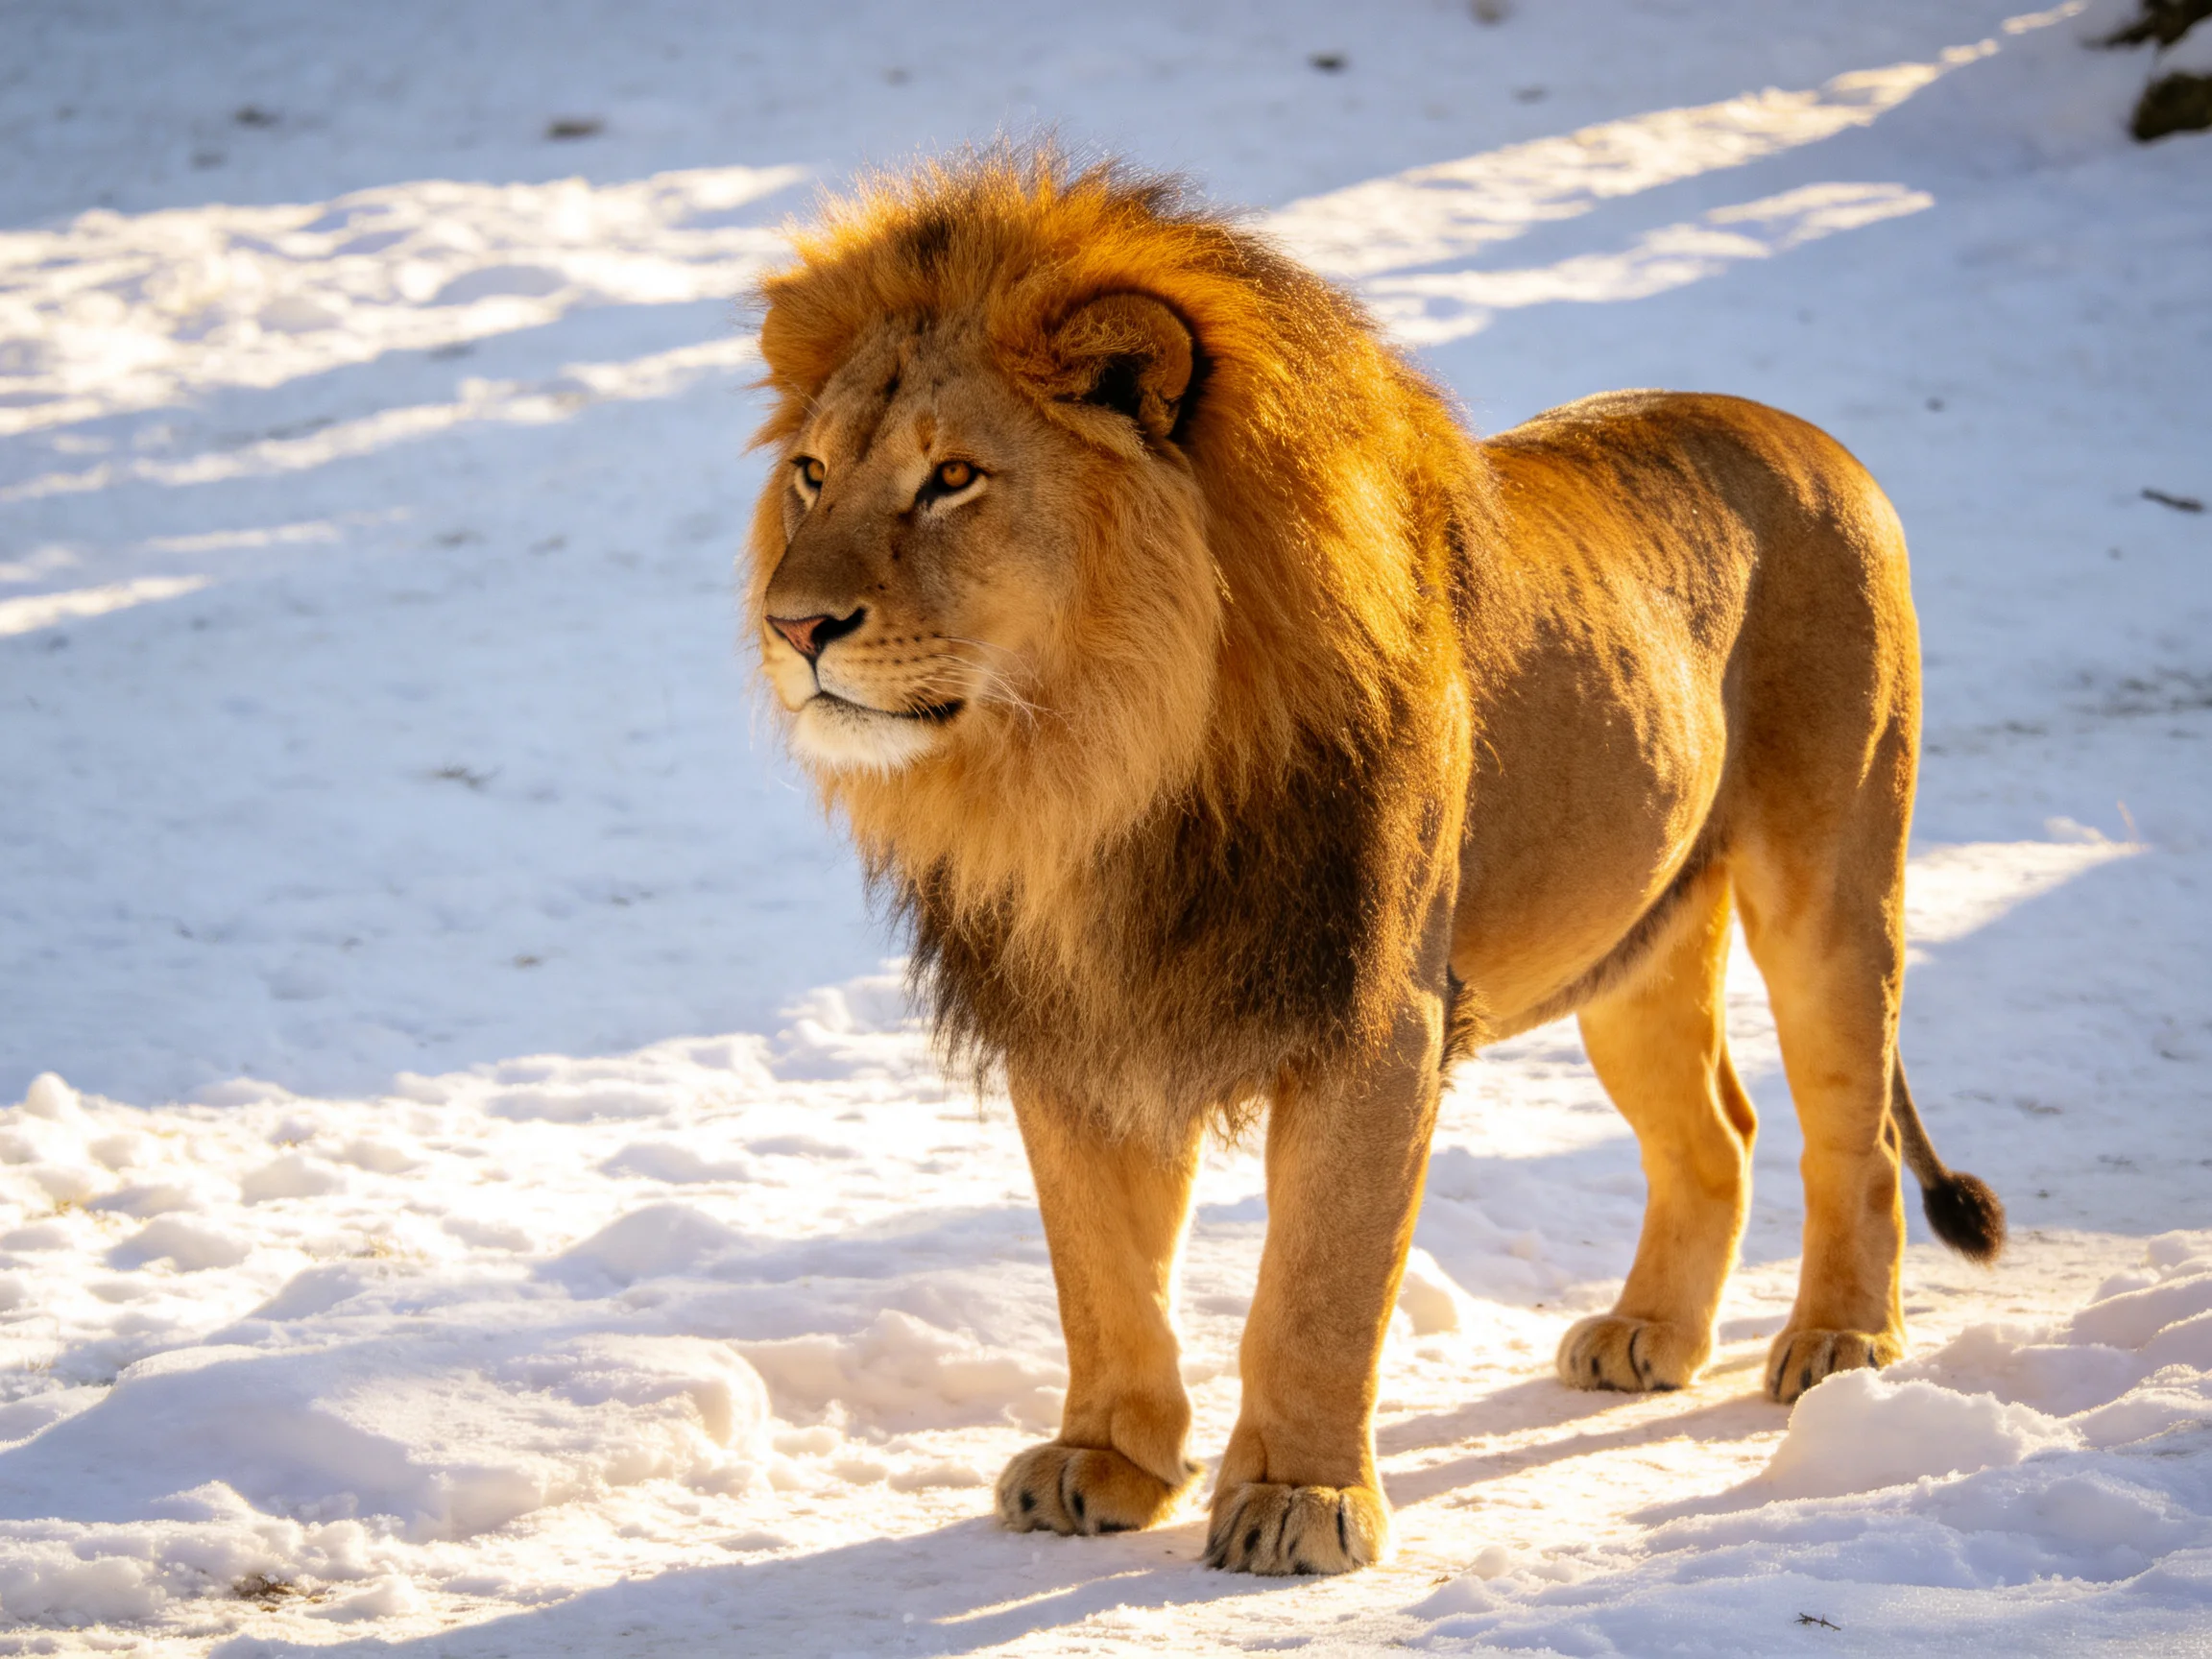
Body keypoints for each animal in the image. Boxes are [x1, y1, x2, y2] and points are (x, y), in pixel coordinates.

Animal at [742, 150, 2004, 1576]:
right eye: (811, 473)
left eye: (953, 476)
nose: (793, 626)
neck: (1088, 770)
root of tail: (1814, 438)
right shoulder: (1078, 1024)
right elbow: (1102, 1272)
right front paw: (1105, 1461)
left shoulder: (1377, 1016)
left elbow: (1318, 1282)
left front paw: (1300, 1499)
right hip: (1631, 942)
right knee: (1715, 1132)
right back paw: (1650, 1337)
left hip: (1830, 881)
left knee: (1849, 1125)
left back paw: (1840, 1344)